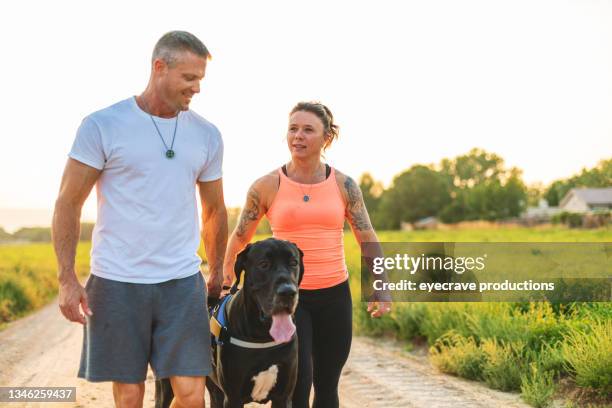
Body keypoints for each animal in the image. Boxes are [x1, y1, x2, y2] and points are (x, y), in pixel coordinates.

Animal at [155, 239, 304, 408]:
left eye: (293, 263)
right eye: (264, 264)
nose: (288, 292)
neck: (262, 336)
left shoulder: (283, 396)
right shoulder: (233, 397)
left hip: (215, 391)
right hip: (168, 385)